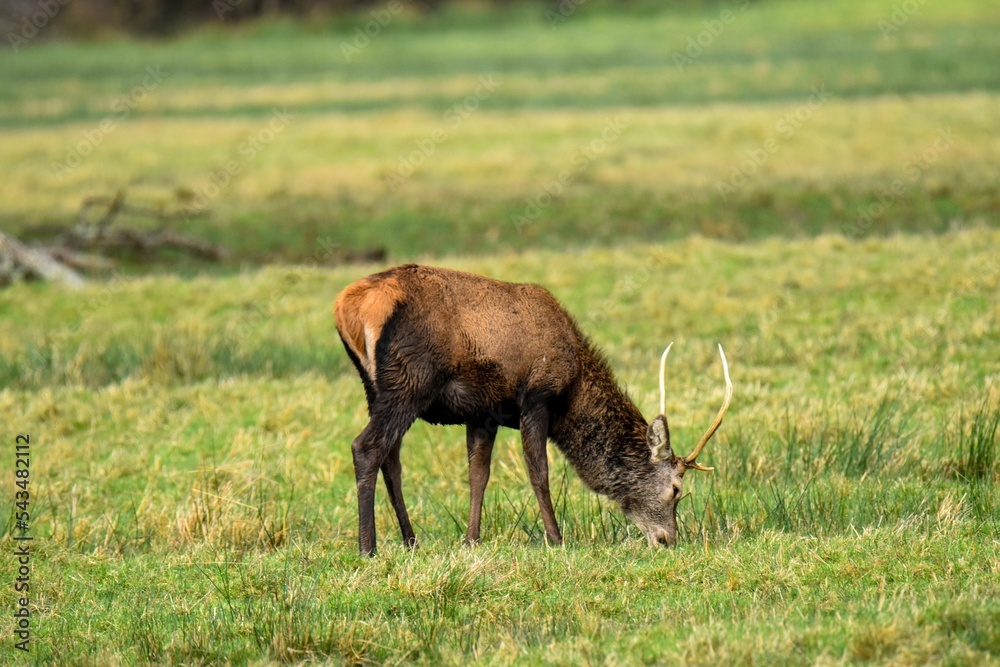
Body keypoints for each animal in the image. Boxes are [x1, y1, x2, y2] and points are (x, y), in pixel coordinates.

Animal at [332, 264, 732, 556]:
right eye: (676, 489)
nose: (668, 539)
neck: (573, 388)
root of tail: (347, 306)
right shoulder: (537, 397)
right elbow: (539, 472)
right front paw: (556, 538)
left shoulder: (483, 413)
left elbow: (479, 474)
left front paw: (471, 539)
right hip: (411, 378)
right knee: (367, 447)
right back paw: (368, 547)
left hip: (374, 386)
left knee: (391, 458)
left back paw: (410, 540)